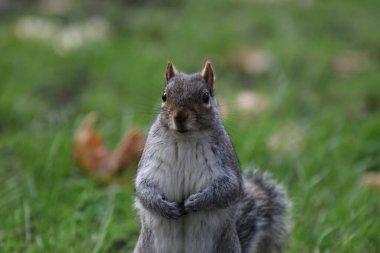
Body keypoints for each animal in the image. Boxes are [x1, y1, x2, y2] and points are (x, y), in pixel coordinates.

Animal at [133, 61, 288, 253]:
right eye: (164, 96)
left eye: (205, 97)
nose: (180, 116)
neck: (185, 139)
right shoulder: (151, 161)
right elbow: (143, 188)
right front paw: (165, 208)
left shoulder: (225, 163)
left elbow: (229, 189)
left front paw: (196, 202)